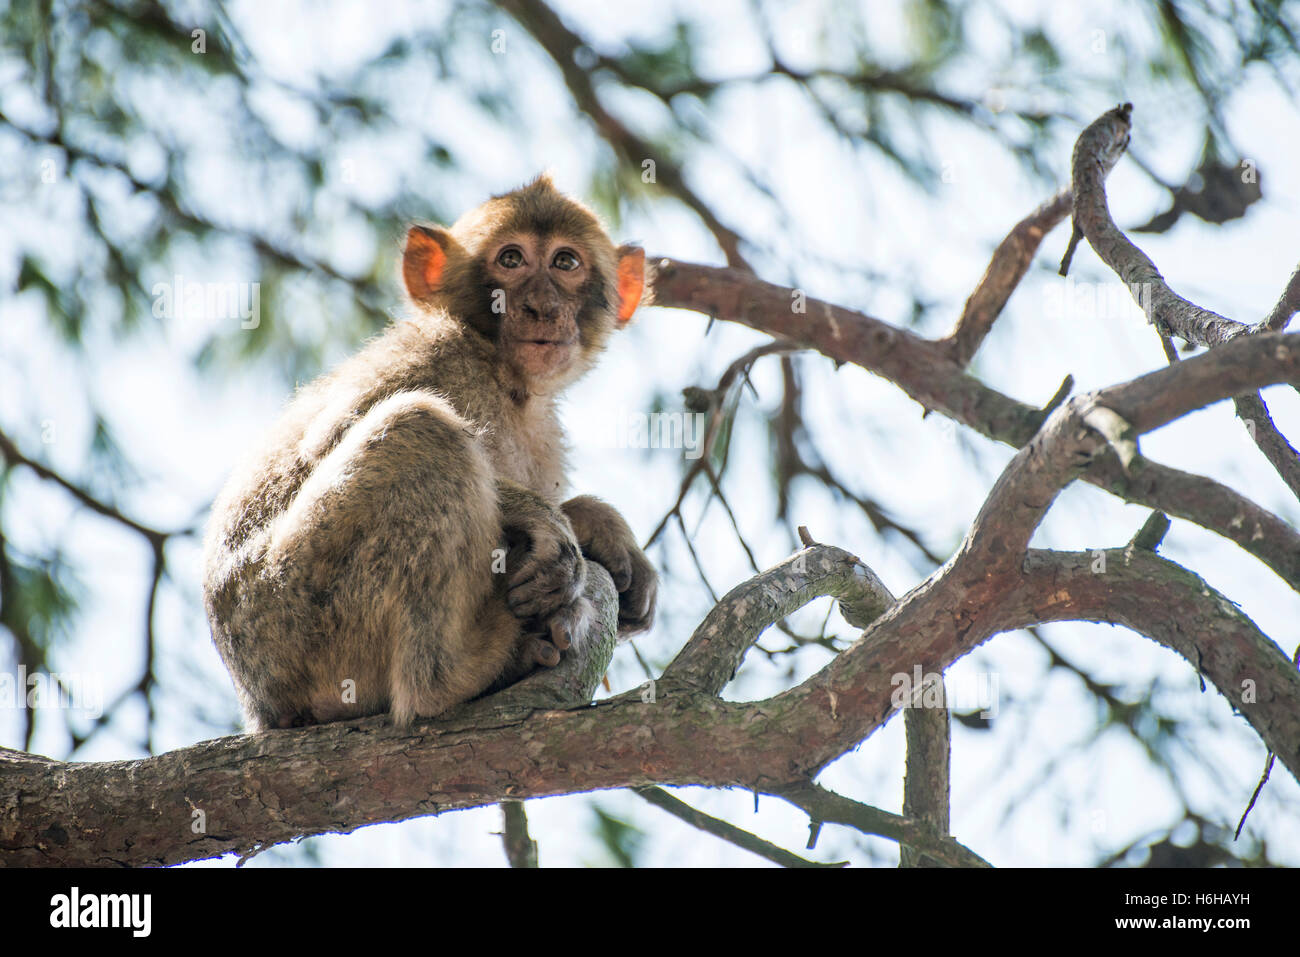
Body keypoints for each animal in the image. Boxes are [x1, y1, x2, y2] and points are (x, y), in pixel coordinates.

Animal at [202, 175, 660, 728]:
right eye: (511, 259)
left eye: (565, 262)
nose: (542, 308)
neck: (504, 376)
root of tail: (260, 705)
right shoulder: (434, 354)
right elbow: (326, 442)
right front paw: (548, 523)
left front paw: (602, 528)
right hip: (293, 616)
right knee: (421, 430)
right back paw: (454, 677)